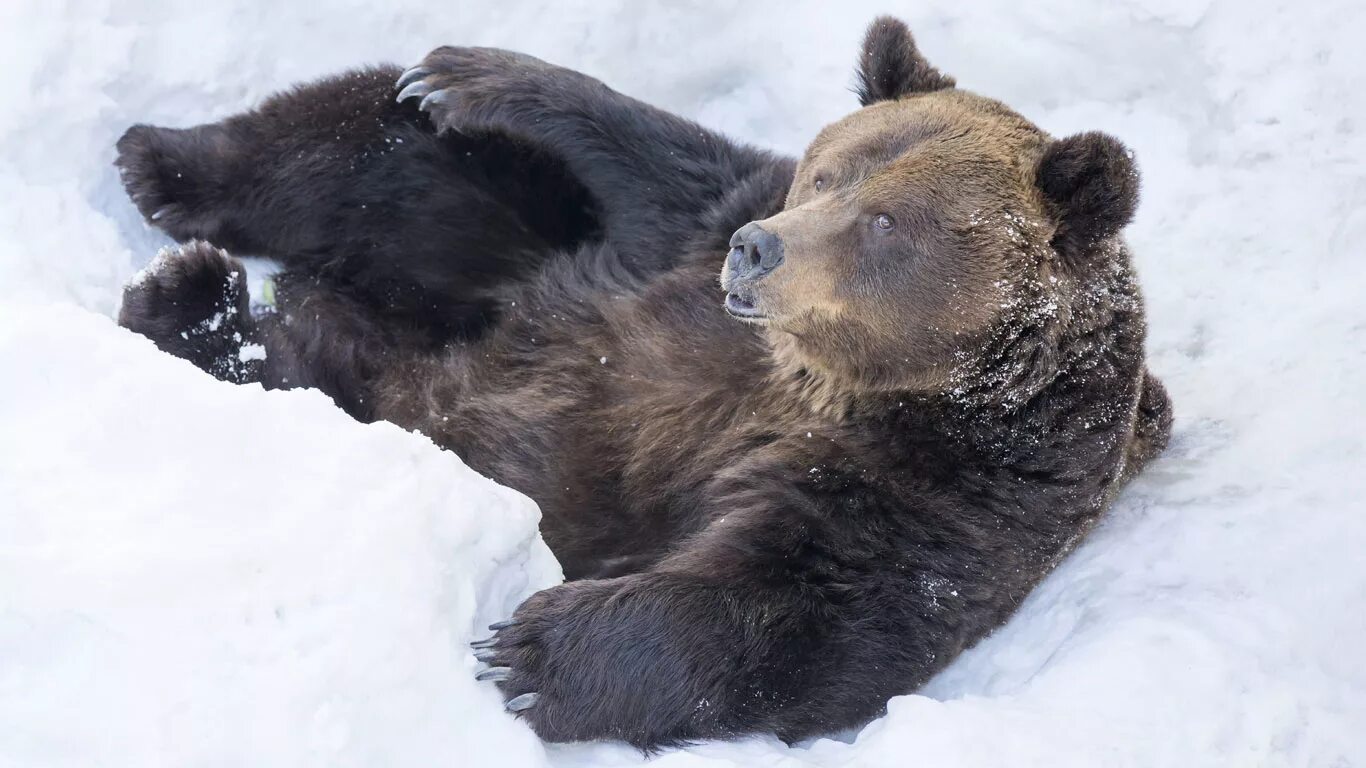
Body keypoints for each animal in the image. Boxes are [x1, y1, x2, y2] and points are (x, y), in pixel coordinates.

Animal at [112, 16, 1169, 748]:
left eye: (890, 224)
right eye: (830, 173)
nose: (759, 252)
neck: (833, 380)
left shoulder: (949, 495)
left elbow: (802, 612)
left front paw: (531, 653)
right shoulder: (682, 241)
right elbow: (651, 157)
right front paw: (464, 73)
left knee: (323, 348)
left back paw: (198, 308)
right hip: (488, 231)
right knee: (368, 141)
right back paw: (168, 179)